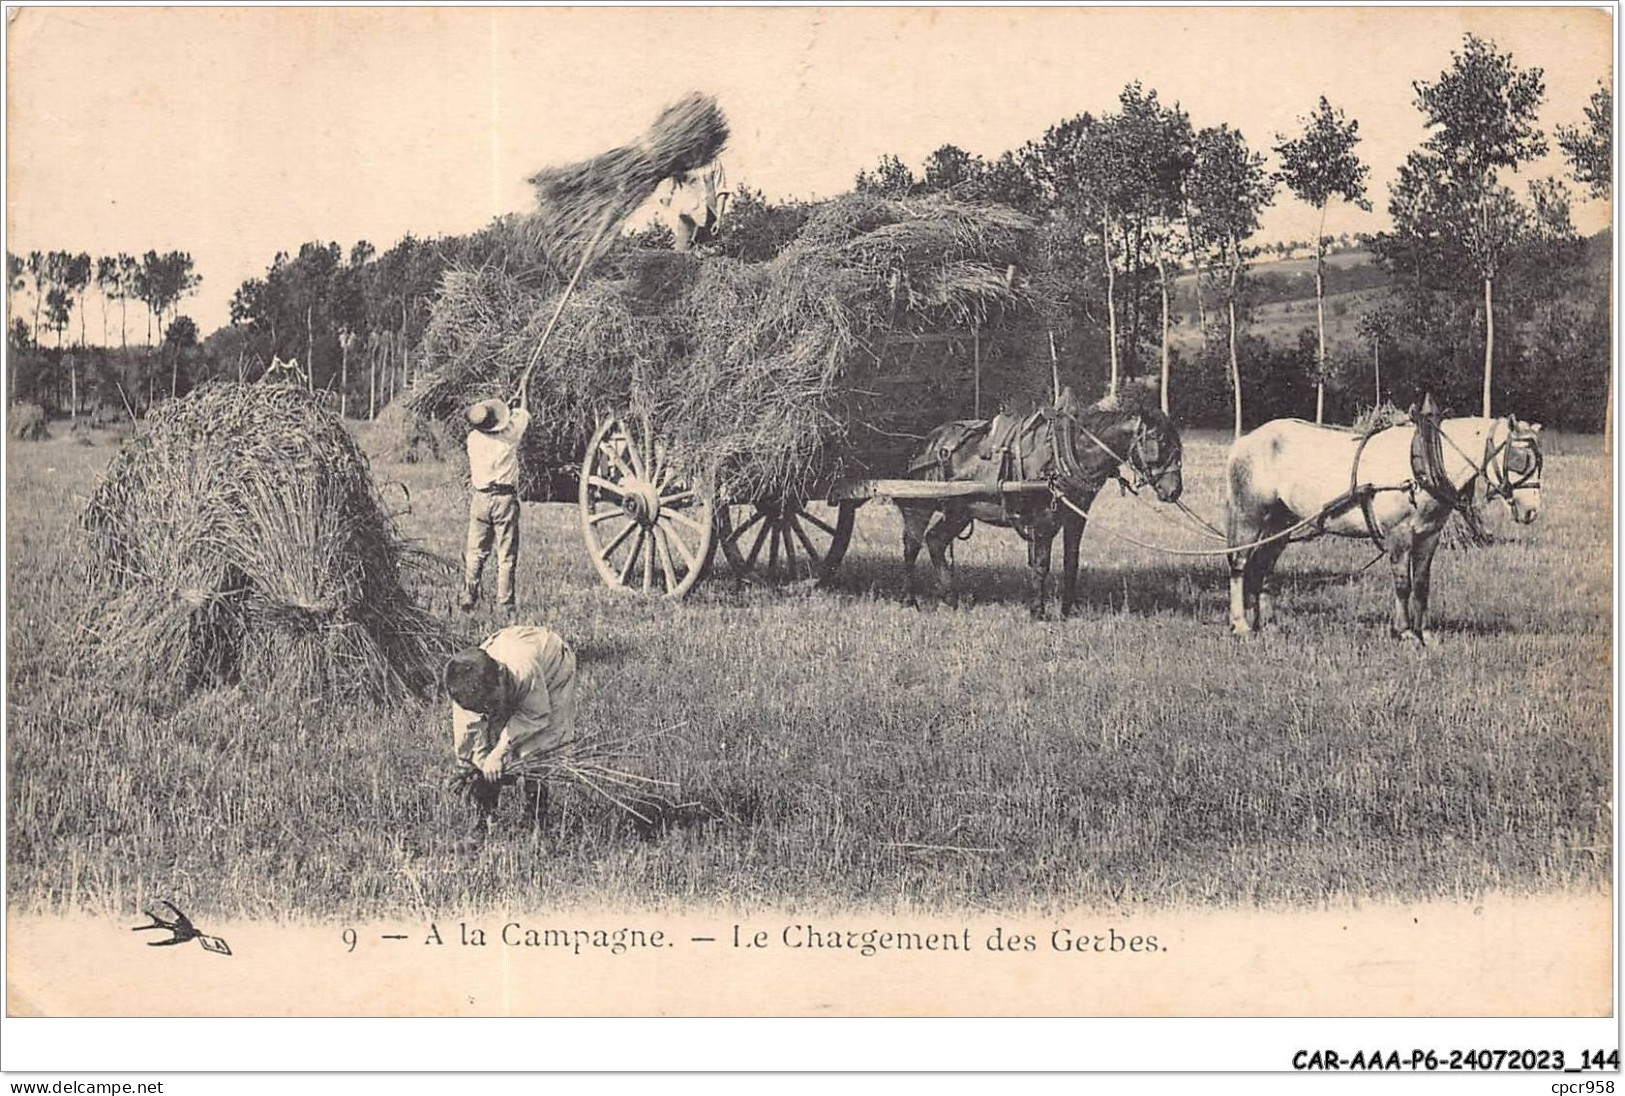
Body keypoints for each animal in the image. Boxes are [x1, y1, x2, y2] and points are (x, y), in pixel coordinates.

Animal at [897, 388, 1189, 617]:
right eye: (1160, 441)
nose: (1174, 491)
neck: (1069, 451)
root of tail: (926, 443)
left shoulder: (1076, 517)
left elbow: (1070, 562)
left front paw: (1067, 611)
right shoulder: (1042, 520)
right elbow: (1041, 564)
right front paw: (1037, 612)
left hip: (960, 511)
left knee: (935, 541)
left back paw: (951, 600)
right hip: (918, 506)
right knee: (912, 547)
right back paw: (910, 601)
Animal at [1222, 416, 1540, 640]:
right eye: (1519, 459)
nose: (1531, 512)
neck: (1422, 464)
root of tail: (1245, 440)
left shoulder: (1429, 536)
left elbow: (1422, 584)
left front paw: (1426, 633)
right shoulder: (1398, 535)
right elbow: (1402, 584)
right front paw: (1405, 632)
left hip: (1281, 522)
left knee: (1264, 566)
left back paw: (1269, 625)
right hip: (1249, 515)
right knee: (1239, 564)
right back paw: (1241, 624)